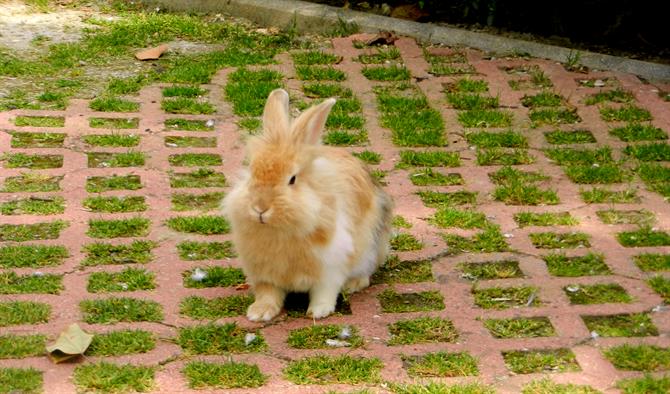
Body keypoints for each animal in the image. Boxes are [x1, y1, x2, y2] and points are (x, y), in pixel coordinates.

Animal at [223, 88, 396, 320]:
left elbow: (324, 291)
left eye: (292, 179)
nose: (260, 208)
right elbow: (268, 293)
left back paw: (352, 284)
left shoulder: (330, 267)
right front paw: (259, 312)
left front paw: (318, 311)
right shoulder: (263, 272)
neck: (280, 230)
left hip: (369, 249)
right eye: (252, 173)